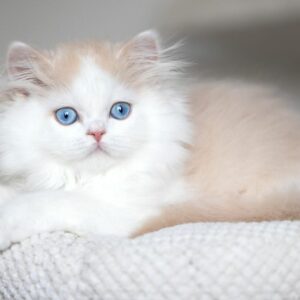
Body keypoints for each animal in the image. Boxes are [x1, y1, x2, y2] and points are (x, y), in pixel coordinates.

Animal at [0, 30, 300, 250]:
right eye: (66, 116)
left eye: (120, 111)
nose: (97, 133)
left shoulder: (127, 212)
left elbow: (48, 201)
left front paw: (6, 224)